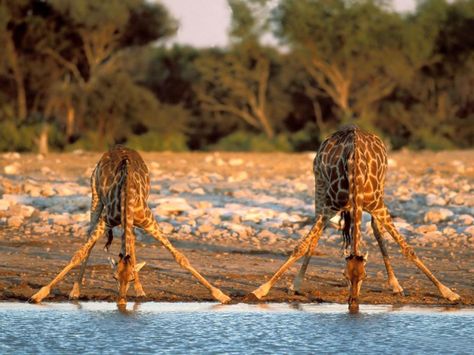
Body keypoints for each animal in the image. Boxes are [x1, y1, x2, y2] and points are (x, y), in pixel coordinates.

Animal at [28, 145, 231, 306]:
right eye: (114, 277)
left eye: (131, 277)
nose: (121, 302)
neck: (127, 195)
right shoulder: (106, 220)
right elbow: (78, 254)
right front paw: (38, 295)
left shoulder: (149, 220)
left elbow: (180, 257)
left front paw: (221, 296)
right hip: (95, 197)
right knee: (90, 240)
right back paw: (75, 291)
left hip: (130, 220)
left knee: (131, 245)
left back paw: (140, 291)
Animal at [250, 126, 462, 310]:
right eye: (344, 275)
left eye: (365, 277)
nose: (353, 303)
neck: (356, 177)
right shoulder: (329, 207)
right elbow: (300, 247)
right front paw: (261, 290)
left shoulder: (378, 206)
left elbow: (408, 250)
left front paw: (449, 293)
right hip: (320, 185)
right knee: (316, 234)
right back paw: (296, 285)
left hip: (381, 190)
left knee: (376, 228)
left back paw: (395, 285)